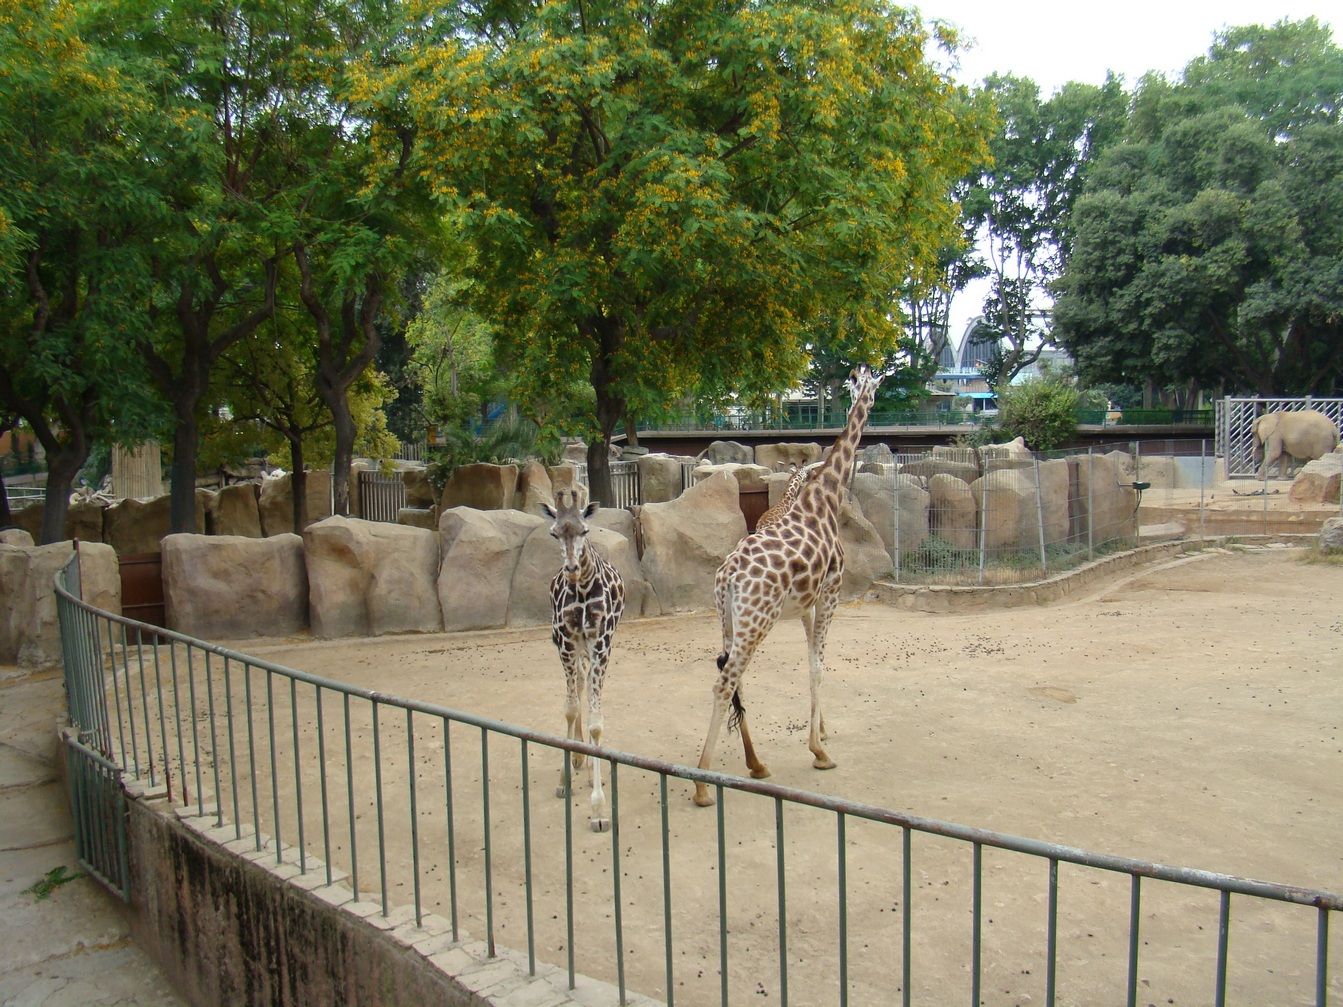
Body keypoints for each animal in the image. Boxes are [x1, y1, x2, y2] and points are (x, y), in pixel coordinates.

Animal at [692, 367, 881, 810]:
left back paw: (756, 764)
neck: (826, 497)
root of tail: (728, 576)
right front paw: (820, 752)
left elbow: (812, 661)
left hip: (730, 619)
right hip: (758, 620)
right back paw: (703, 785)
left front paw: (821, 734)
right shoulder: (831, 592)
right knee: (725, 682)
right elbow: (819, 665)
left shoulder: (806, 605)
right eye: (873, 389)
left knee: (732, 676)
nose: (867, 394)